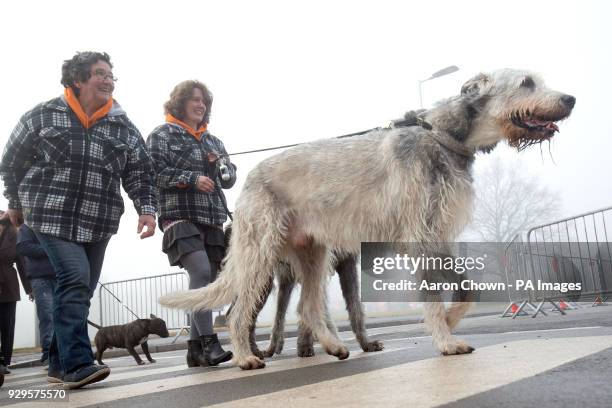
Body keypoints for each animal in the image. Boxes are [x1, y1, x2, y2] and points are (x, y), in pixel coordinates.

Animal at [160, 70, 576, 370]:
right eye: (526, 82)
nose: (570, 98)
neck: (442, 137)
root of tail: (247, 179)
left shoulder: (438, 234)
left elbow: (466, 289)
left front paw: (450, 321)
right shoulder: (419, 235)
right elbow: (435, 294)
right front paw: (445, 340)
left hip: (312, 253)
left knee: (307, 307)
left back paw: (333, 346)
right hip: (260, 254)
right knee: (238, 312)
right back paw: (247, 356)